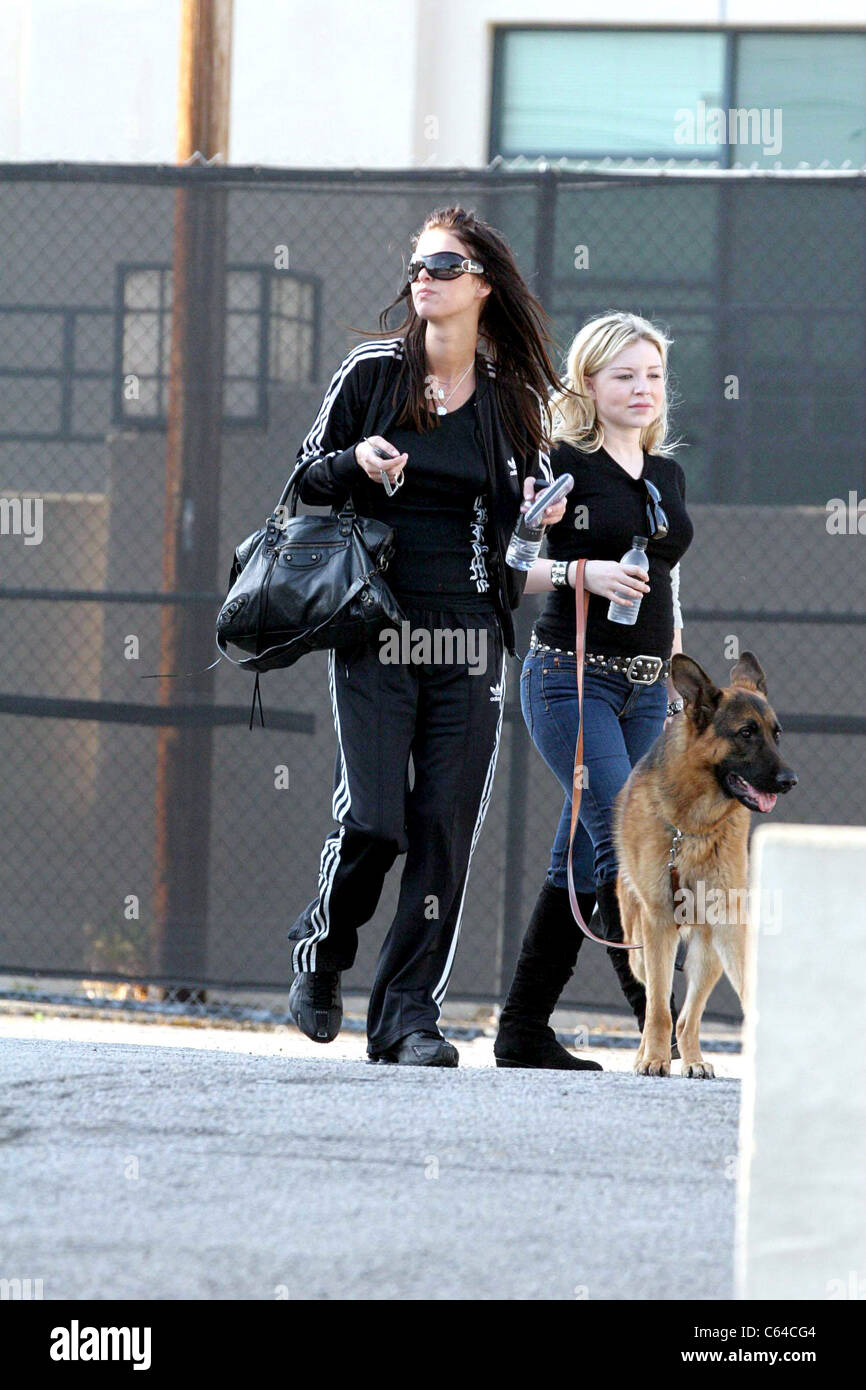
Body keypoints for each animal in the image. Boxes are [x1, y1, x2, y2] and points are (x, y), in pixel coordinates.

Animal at [617, 647, 800, 1073]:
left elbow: (743, 989)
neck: (693, 824)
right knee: (654, 1002)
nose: (789, 780)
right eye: (746, 733)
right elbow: (657, 1009)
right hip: (639, 946)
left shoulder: (730, 920)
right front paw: (654, 1059)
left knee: (688, 1017)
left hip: (709, 947)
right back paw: (648, 1054)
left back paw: (695, 1061)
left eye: (776, 733)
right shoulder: (658, 922)